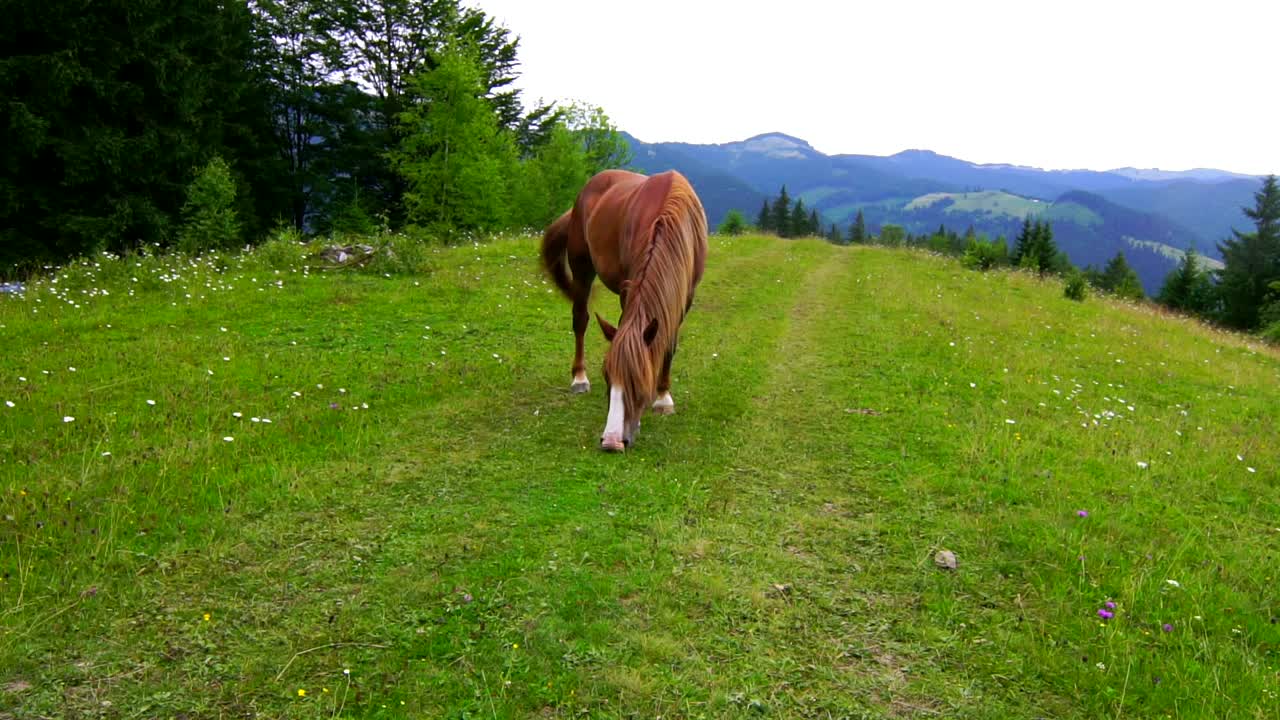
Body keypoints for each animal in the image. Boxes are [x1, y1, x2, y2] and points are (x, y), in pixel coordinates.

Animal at [540, 169, 708, 452]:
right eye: (608, 378)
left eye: (640, 383)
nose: (612, 441)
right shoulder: (628, 288)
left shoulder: (685, 298)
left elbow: (669, 344)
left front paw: (663, 398)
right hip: (582, 268)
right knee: (580, 320)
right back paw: (579, 378)